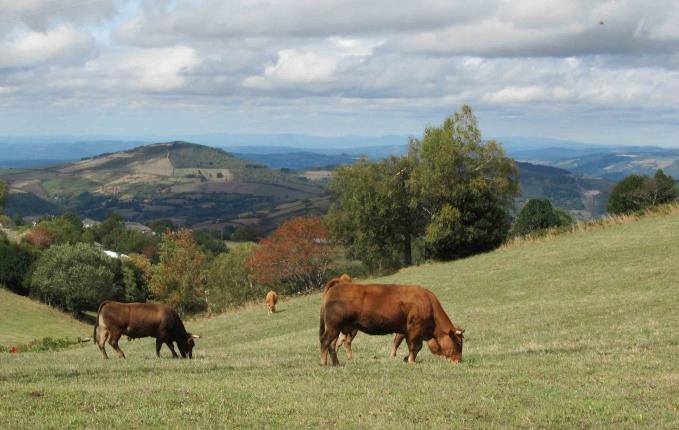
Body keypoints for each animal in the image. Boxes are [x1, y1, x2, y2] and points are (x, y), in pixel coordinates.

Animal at [318, 278, 462, 366]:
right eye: (458, 343)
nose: (459, 361)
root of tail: (337, 287)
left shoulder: (406, 331)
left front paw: (406, 359)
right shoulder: (415, 330)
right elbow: (415, 347)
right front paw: (411, 361)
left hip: (337, 329)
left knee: (332, 345)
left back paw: (336, 364)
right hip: (333, 327)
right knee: (325, 342)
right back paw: (324, 363)